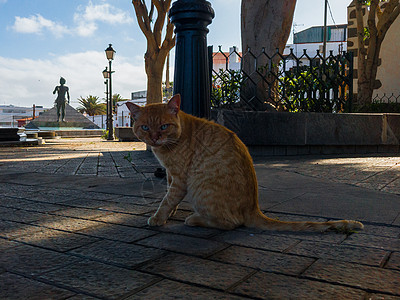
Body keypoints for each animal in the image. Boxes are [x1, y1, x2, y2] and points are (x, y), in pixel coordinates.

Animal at [126, 94, 364, 232]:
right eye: (145, 127)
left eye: (163, 127)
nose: (154, 139)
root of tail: (253, 208)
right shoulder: (170, 174)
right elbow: (169, 197)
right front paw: (169, 213)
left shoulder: (180, 178)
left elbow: (167, 200)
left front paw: (159, 217)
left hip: (200, 188)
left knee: (230, 223)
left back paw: (195, 219)